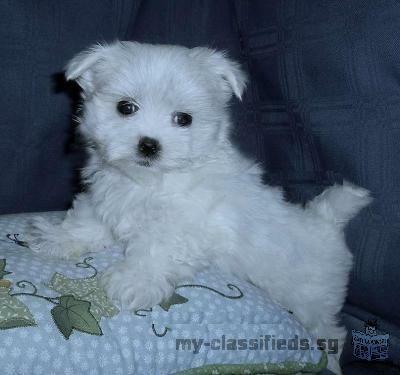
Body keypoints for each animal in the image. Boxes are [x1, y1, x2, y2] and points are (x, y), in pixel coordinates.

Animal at [29, 40, 370, 374]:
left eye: (184, 119)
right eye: (125, 107)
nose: (149, 144)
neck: (148, 181)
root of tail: (326, 223)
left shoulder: (184, 225)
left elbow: (155, 250)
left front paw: (134, 281)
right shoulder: (106, 195)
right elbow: (88, 219)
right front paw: (59, 238)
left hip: (314, 298)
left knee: (329, 329)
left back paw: (333, 359)